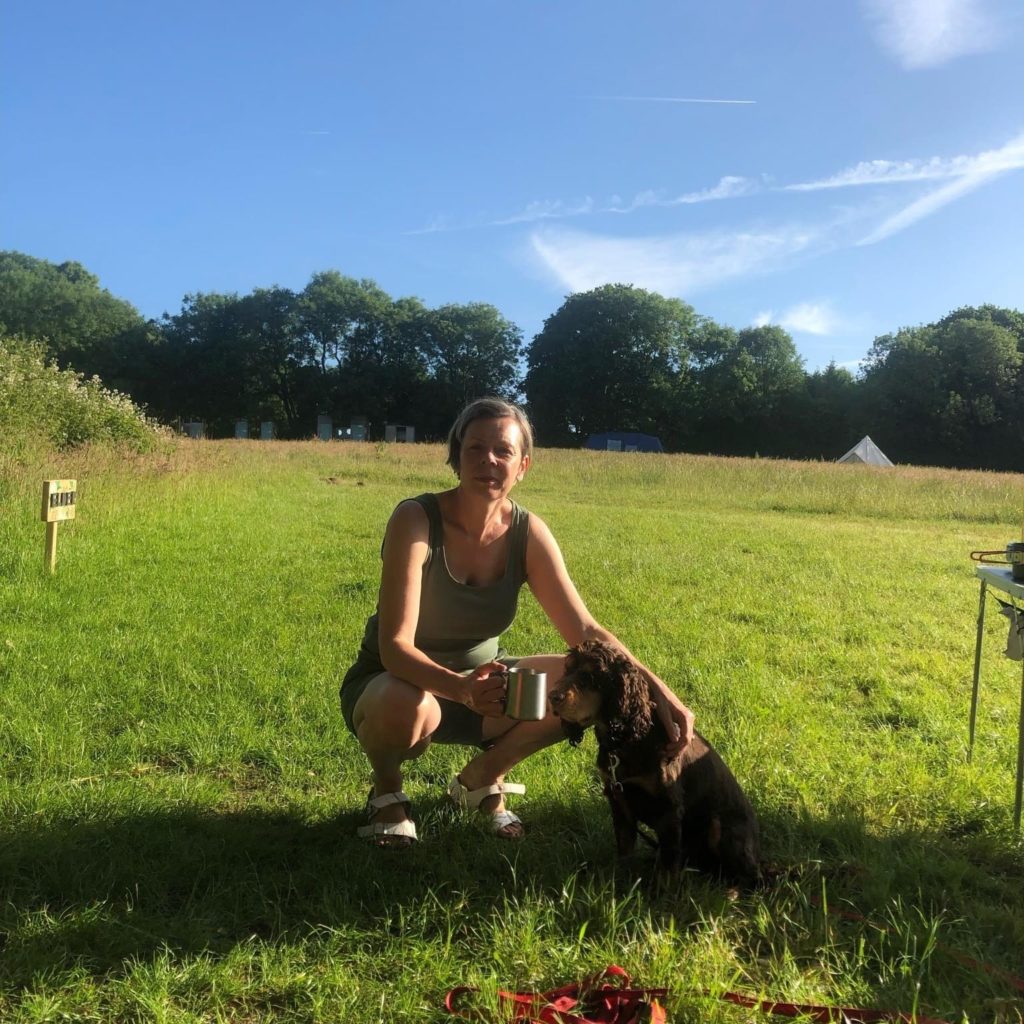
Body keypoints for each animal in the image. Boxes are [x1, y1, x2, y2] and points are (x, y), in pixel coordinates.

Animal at [552, 638, 761, 888]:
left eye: (589, 676)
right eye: (567, 669)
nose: (552, 696)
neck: (625, 741)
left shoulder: (669, 808)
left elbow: (668, 863)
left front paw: (662, 891)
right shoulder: (619, 800)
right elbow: (625, 849)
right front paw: (619, 880)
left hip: (723, 825)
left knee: (751, 877)